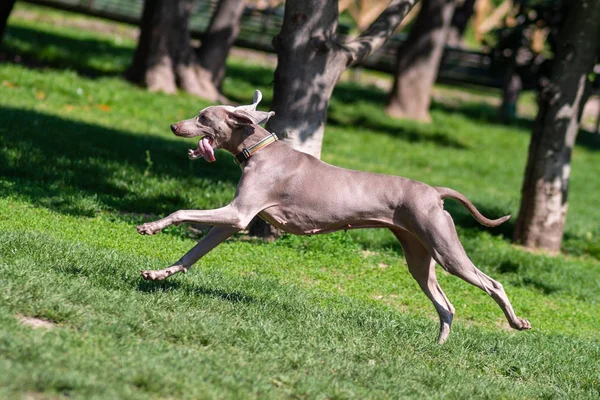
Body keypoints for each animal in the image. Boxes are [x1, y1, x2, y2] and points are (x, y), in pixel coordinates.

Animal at [137, 90, 528, 344]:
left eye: (203, 118)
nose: (174, 126)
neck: (259, 150)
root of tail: (434, 191)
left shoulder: (238, 214)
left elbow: (180, 211)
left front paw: (150, 226)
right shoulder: (231, 222)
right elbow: (191, 254)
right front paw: (157, 273)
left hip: (445, 248)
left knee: (492, 284)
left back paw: (517, 322)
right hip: (419, 255)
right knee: (446, 306)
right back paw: (438, 346)